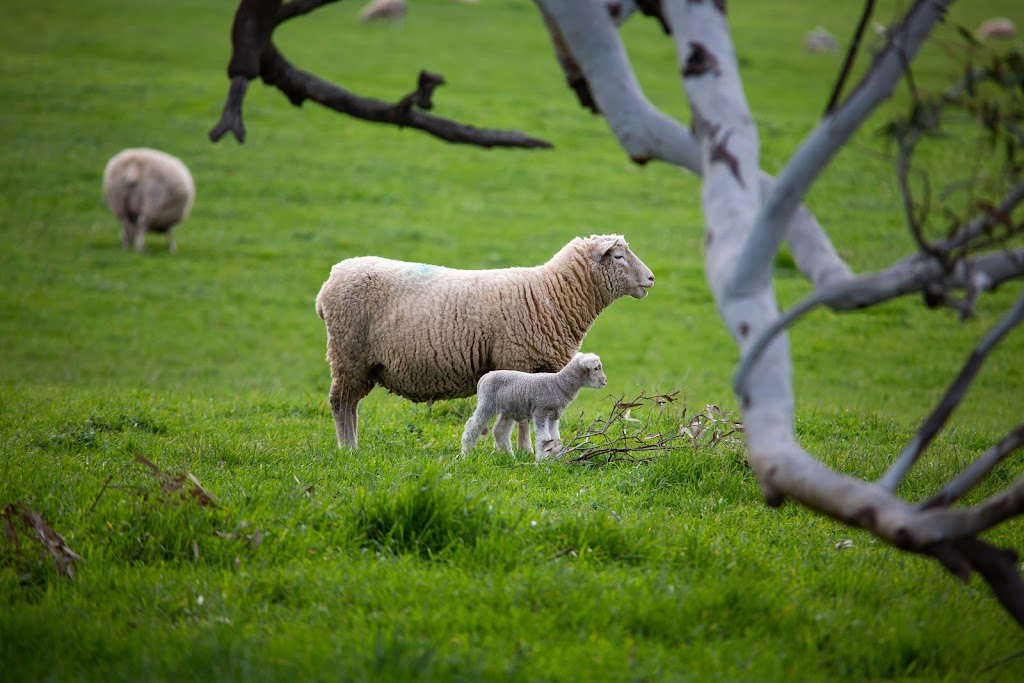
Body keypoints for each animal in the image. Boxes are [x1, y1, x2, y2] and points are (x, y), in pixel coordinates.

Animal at [460, 352, 602, 458]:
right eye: (596, 368)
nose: (604, 382)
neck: (559, 384)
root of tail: (485, 377)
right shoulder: (541, 412)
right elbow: (544, 438)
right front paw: (542, 460)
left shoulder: (554, 416)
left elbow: (555, 438)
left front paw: (553, 459)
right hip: (486, 404)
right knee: (473, 426)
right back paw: (465, 453)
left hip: (508, 409)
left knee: (500, 431)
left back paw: (509, 457)